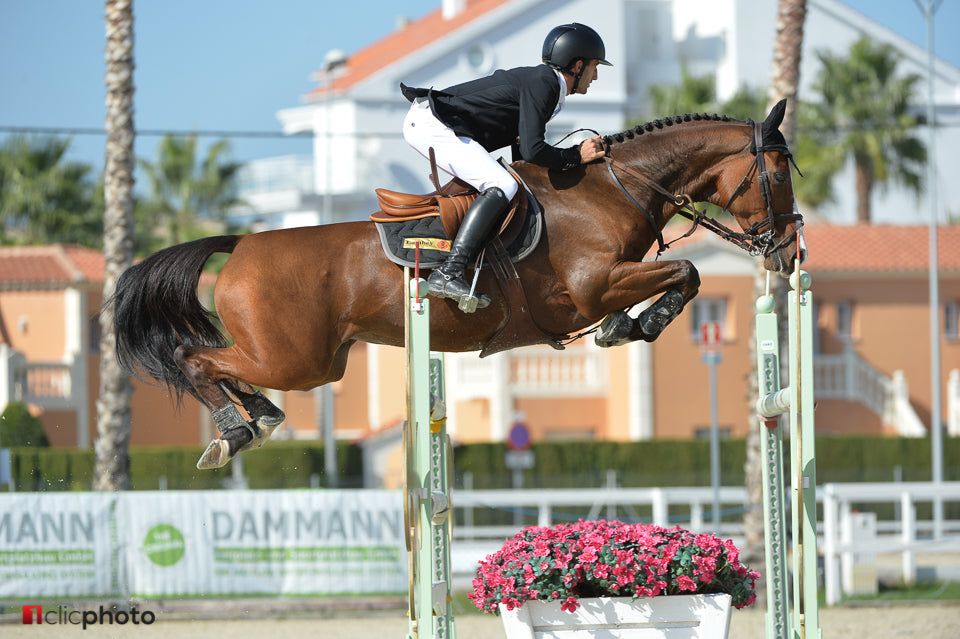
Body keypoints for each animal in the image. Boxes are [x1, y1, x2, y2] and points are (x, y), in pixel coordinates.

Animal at [110, 100, 804, 470]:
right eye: (776, 174)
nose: (791, 250)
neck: (613, 190)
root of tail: (242, 242)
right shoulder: (591, 285)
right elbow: (686, 272)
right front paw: (643, 323)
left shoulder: (609, 283)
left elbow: (673, 281)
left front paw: (624, 327)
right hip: (294, 358)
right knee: (195, 358)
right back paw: (235, 430)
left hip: (314, 363)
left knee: (223, 367)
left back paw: (259, 418)